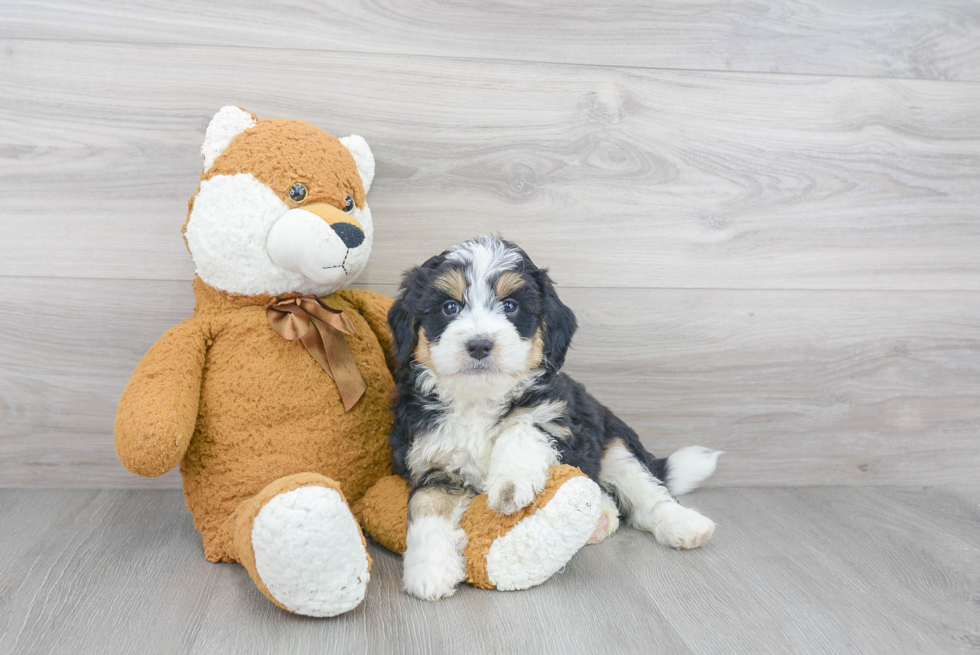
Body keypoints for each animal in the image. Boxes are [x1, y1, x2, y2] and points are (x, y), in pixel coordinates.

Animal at [388, 236, 720, 600]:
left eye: (510, 306)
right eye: (449, 307)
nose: (479, 345)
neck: (479, 400)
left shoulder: (556, 415)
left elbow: (521, 427)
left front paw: (510, 483)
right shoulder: (429, 457)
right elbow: (427, 506)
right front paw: (430, 571)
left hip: (614, 442)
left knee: (647, 493)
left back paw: (684, 524)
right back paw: (600, 518)